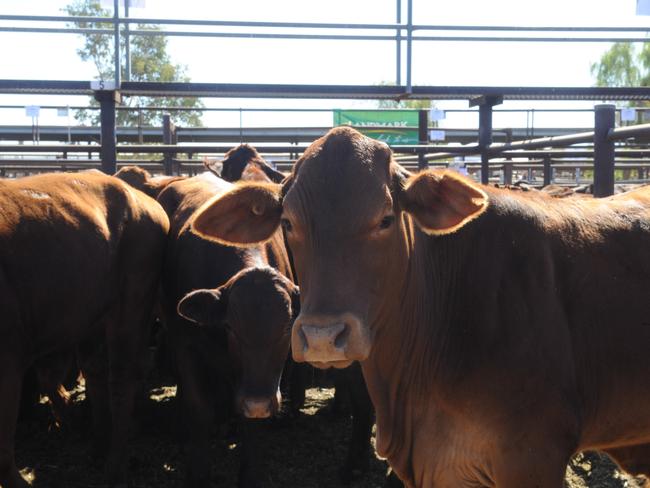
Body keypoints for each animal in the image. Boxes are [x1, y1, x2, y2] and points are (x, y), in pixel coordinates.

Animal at [0, 170, 167, 486]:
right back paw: (97, 447)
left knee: (121, 379)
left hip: (130, 306)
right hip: (91, 316)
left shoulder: (10, 357)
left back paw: (114, 467)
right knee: (95, 371)